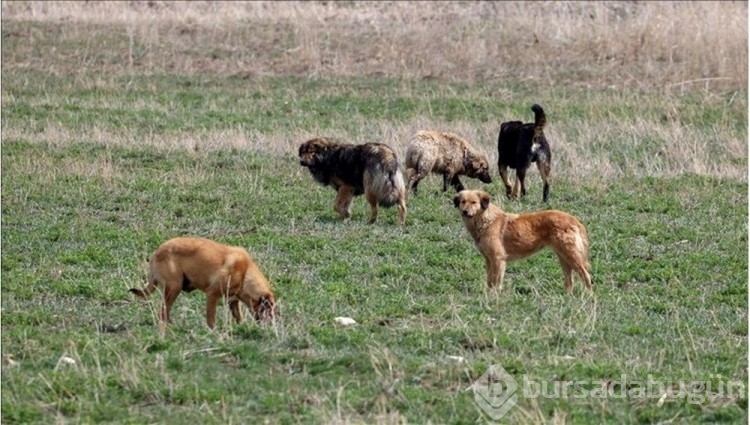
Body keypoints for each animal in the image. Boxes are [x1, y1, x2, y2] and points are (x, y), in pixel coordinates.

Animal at [131, 235, 278, 328]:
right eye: (269, 307)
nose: (273, 324)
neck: (245, 272)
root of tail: (157, 252)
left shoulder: (233, 301)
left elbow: (239, 318)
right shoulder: (212, 294)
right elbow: (211, 319)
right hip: (174, 288)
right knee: (162, 312)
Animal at [452, 190, 592, 292]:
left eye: (474, 202)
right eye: (463, 202)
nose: (465, 211)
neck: (486, 220)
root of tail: (574, 219)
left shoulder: (498, 259)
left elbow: (496, 281)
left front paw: (494, 296)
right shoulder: (489, 259)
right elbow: (489, 280)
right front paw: (487, 294)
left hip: (571, 256)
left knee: (586, 275)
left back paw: (588, 296)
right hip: (563, 257)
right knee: (570, 280)